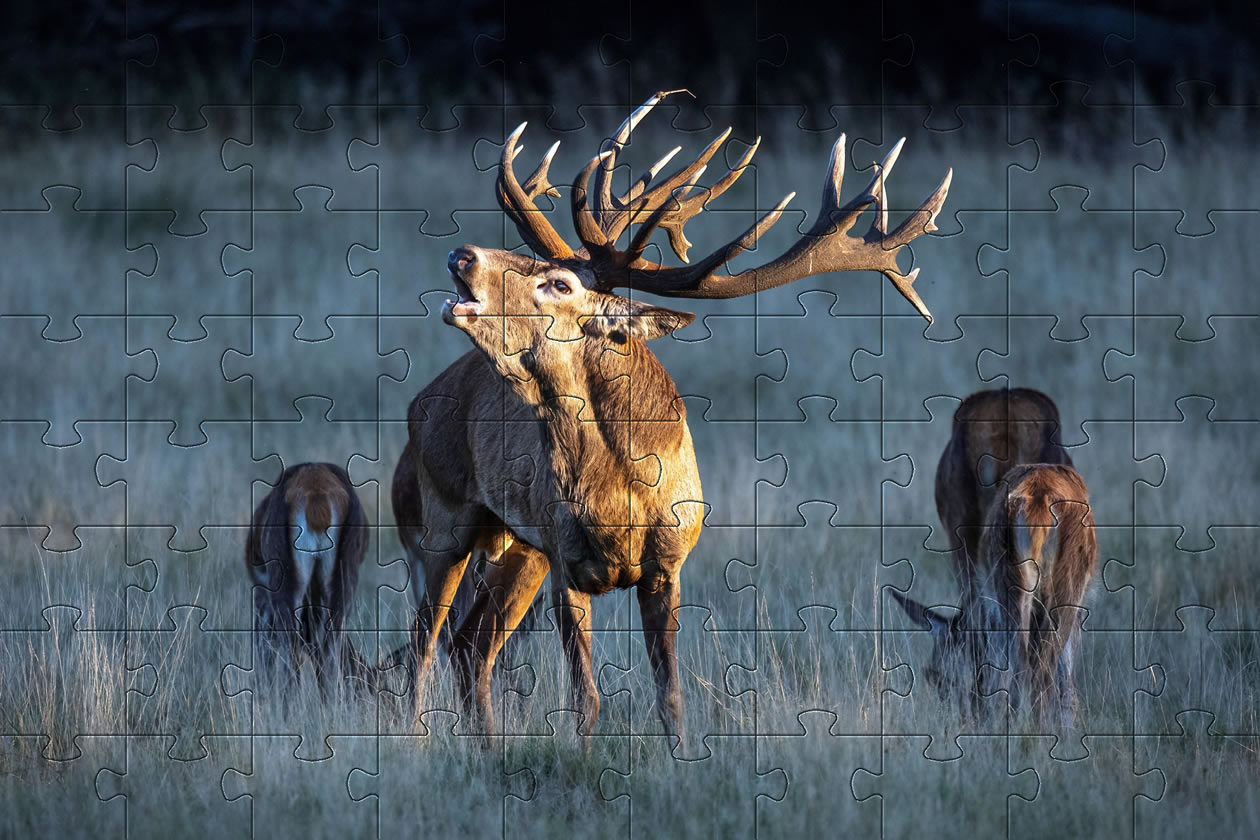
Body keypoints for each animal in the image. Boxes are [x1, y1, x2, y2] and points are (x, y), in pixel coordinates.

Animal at [246, 462, 374, 696]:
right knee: (328, 650)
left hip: (285, 583)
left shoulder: (262, 595)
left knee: (292, 652)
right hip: (343, 580)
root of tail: (316, 494)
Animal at [392, 89, 952, 739]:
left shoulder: (666, 563)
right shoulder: (565, 559)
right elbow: (587, 698)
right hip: (443, 518)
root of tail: (420, 402)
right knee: (426, 647)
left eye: (559, 284)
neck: (620, 493)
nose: (461, 255)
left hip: (514, 548)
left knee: (468, 647)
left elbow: (671, 696)